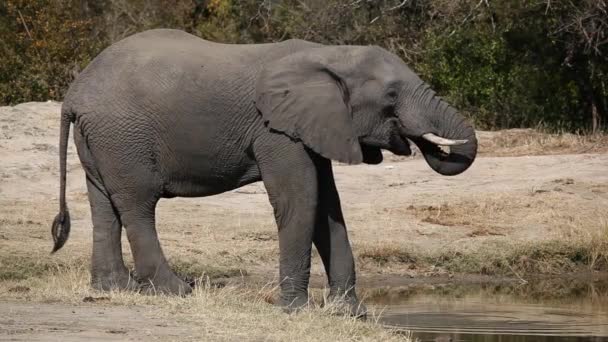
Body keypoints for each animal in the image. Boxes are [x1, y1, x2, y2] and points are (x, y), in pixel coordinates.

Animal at [51, 28, 480, 316]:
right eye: (391, 96)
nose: (423, 143)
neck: (331, 54)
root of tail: (74, 94)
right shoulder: (275, 131)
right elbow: (300, 200)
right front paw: (297, 312)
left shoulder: (311, 126)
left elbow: (328, 207)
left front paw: (349, 314)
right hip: (123, 136)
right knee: (138, 205)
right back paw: (176, 291)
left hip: (101, 139)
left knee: (103, 204)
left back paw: (114, 289)